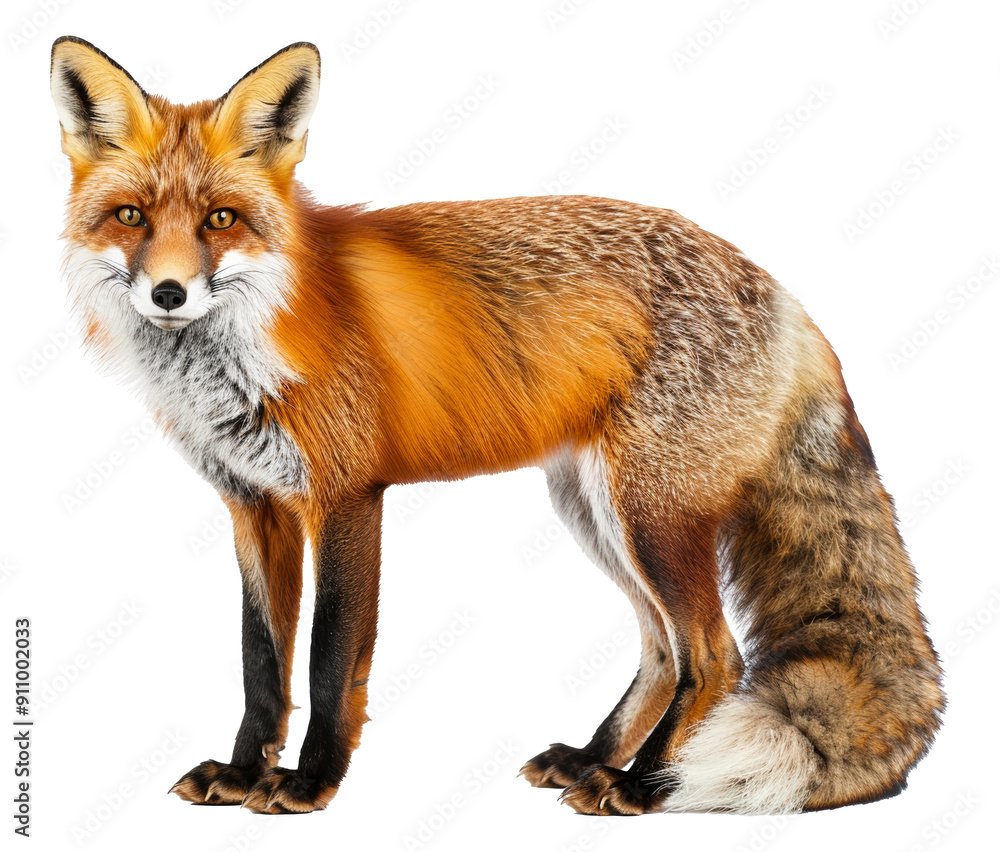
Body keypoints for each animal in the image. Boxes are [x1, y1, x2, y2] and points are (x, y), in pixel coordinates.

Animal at [50, 35, 943, 816]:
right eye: (131, 216)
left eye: (220, 221)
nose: (168, 294)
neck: (248, 346)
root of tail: (782, 292)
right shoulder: (254, 504)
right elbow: (259, 663)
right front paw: (241, 774)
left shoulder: (346, 497)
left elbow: (331, 661)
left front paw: (308, 784)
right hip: (595, 511)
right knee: (662, 649)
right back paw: (593, 760)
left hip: (649, 515)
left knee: (715, 655)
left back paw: (646, 786)